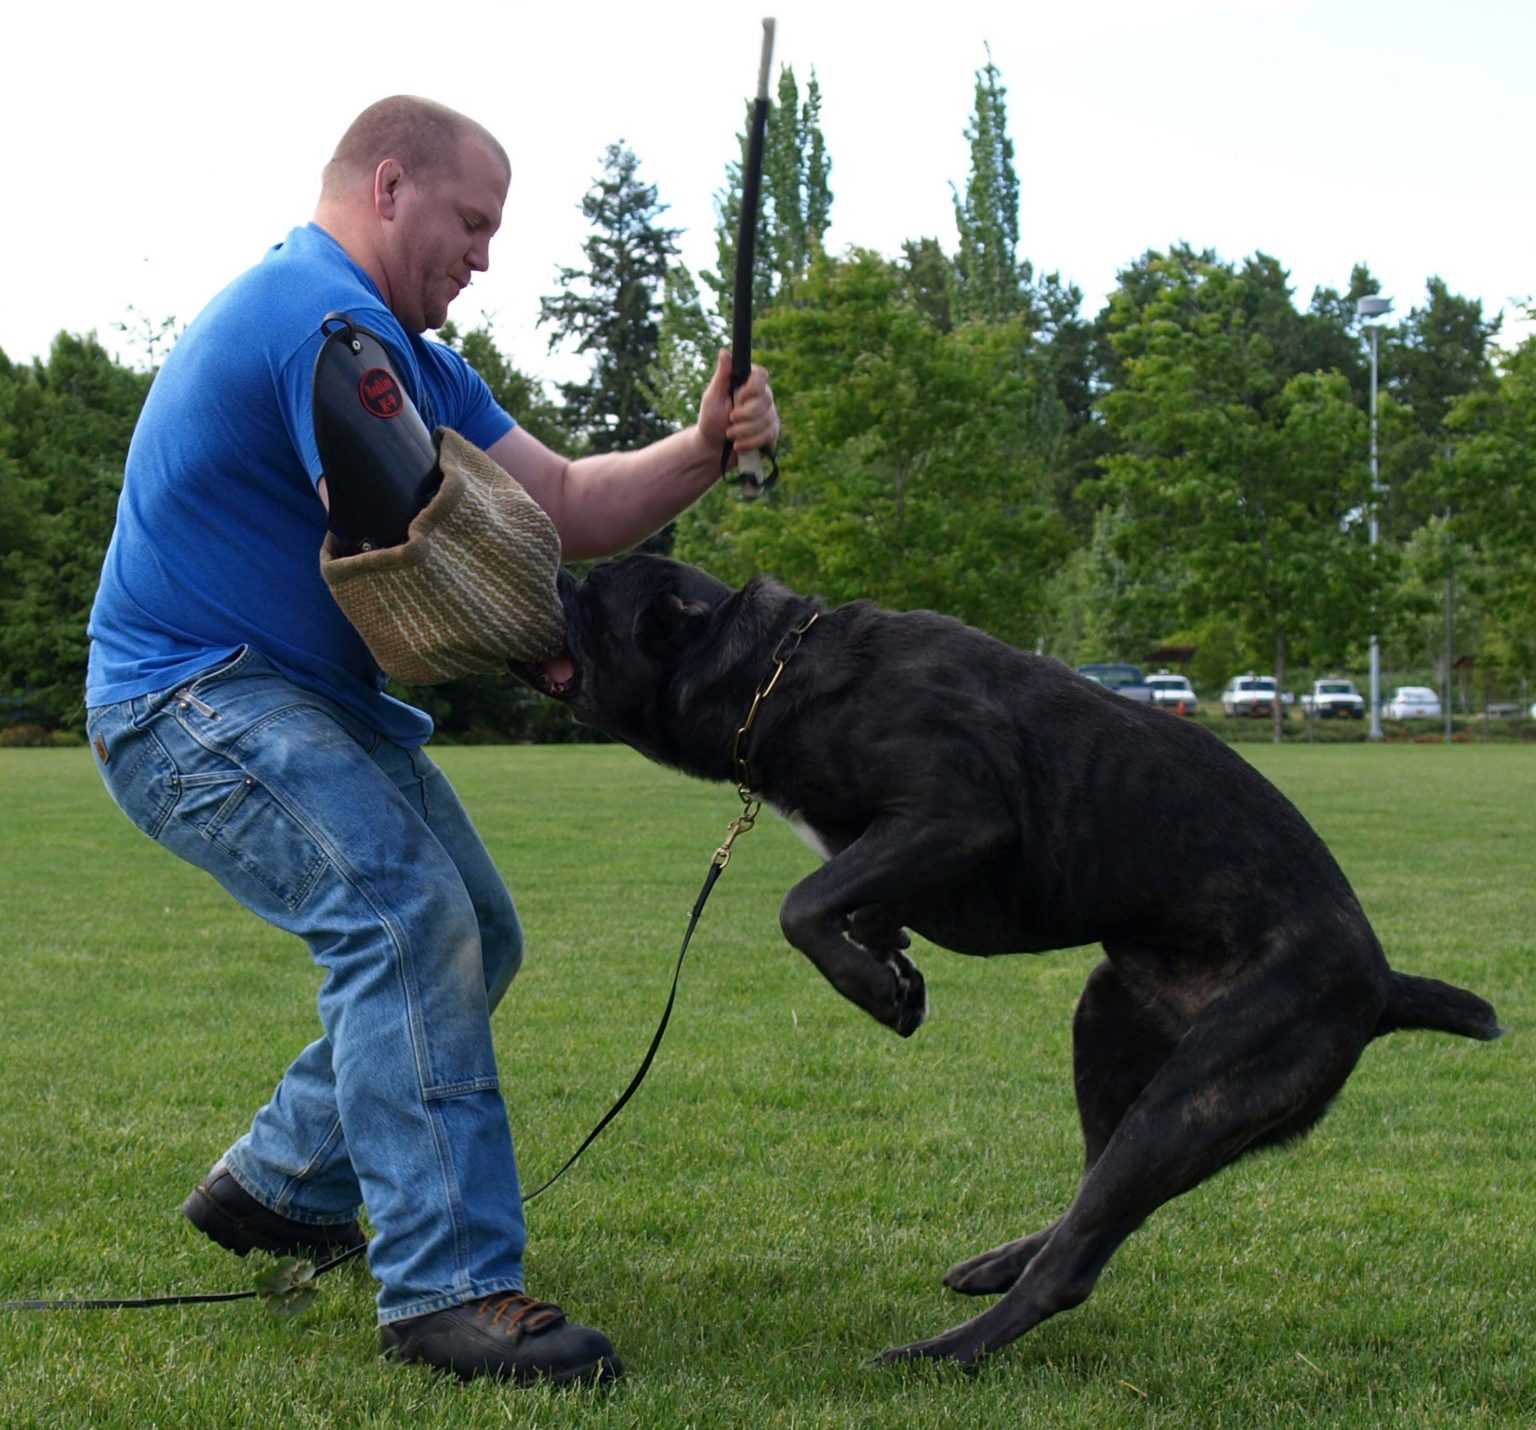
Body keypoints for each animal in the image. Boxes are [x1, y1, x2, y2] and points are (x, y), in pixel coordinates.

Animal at [519, 552, 1499, 1370]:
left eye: (588, 592)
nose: (551, 563)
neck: (769, 669)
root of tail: (1382, 987)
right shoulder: (896, 851)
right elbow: (845, 901)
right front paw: (890, 965)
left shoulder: (953, 815)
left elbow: (801, 905)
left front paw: (875, 986)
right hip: (1111, 1024)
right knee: (1093, 1192)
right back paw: (994, 1269)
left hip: (1201, 1092)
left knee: (1080, 1256)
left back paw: (944, 1353)